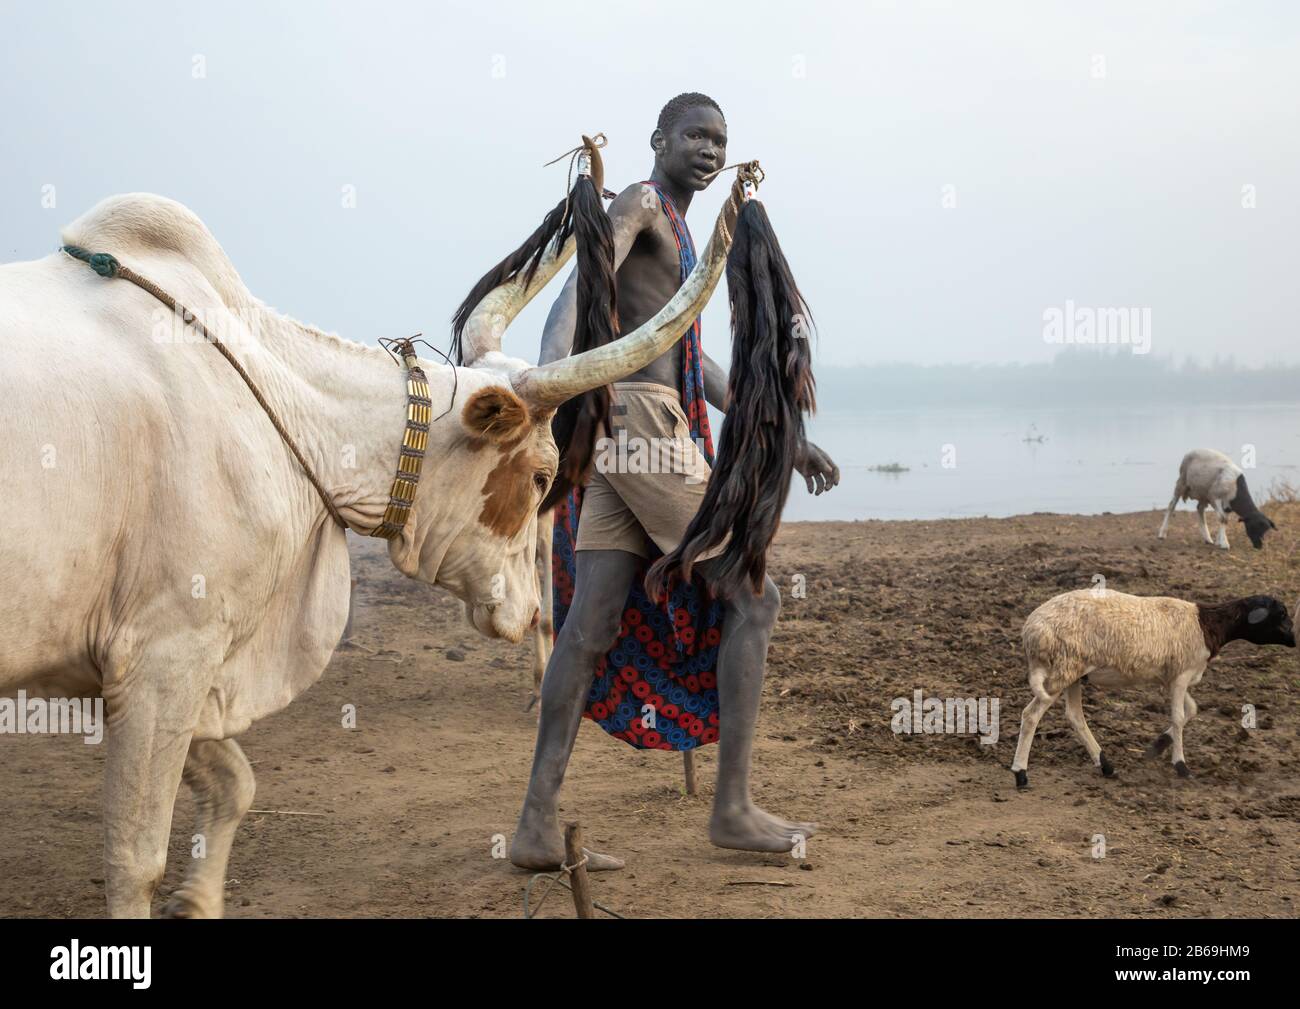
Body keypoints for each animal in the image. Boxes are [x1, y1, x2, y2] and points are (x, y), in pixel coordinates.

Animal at [0, 191, 733, 915]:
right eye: (540, 477)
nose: (528, 611)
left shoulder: (128, 669)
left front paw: (199, 899)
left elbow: (236, 782)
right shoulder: (164, 654)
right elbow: (136, 860)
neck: (284, 410)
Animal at [1008, 587, 1294, 790]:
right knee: (1031, 715)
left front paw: (1157, 746)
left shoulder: (1176, 677)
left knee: (1075, 716)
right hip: (1064, 668)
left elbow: (1191, 711)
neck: (1207, 624)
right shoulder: (1181, 675)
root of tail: (1032, 630)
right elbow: (1178, 717)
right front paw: (1181, 766)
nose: (1294, 640)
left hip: (1074, 672)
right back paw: (1021, 774)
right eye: (1280, 614)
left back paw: (1105, 765)